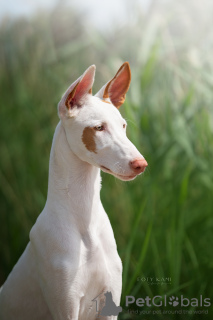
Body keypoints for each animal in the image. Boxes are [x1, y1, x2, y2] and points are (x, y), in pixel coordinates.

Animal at [0, 62, 146, 320]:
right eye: (98, 128)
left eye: (123, 126)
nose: (141, 164)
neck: (84, 220)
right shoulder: (65, 306)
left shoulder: (110, 303)